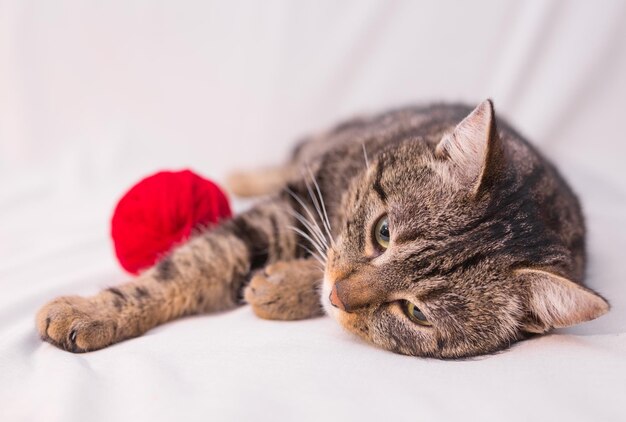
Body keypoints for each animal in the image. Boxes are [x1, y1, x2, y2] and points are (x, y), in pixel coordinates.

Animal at [36, 99, 608, 360]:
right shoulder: (287, 206)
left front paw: (282, 286)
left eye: (416, 313)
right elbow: (189, 266)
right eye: (382, 232)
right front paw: (92, 310)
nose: (338, 294)